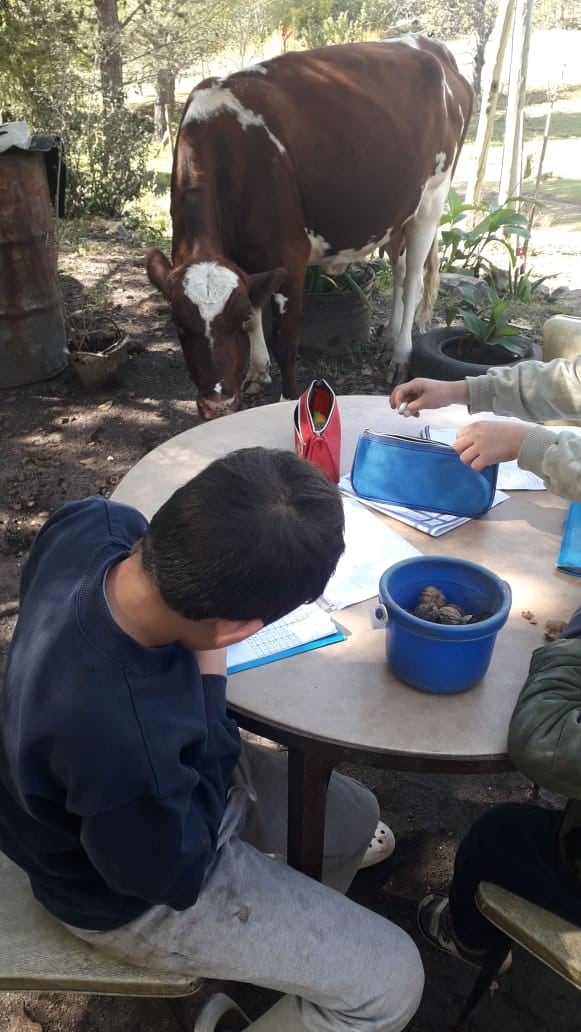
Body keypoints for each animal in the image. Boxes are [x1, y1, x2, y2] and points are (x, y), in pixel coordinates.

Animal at [145, 35, 472, 418]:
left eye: (234, 322)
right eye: (180, 325)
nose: (218, 403)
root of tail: (428, 44)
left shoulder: (289, 257)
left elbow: (286, 342)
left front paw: (286, 398)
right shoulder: (248, 260)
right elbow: (257, 308)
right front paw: (257, 370)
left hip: (431, 201)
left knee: (414, 281)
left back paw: (401, 356)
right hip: (397, 214)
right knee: (401, 271)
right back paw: (390, 337)